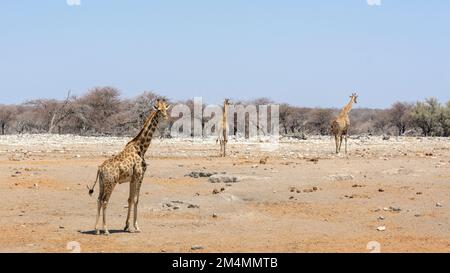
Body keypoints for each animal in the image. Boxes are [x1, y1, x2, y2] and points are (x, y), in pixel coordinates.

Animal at [87, 98, 171, 234]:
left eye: (165, 109)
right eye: (158, 109)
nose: (165, 116)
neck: (141, 148)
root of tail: (100, 169)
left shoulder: (132, 179)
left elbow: (130, 199)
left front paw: (127, 226)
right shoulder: (140, 175)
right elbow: (136, 199)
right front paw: (136, 226)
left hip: (102, 183)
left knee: (99, 199)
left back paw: (96, 229)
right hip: (111, 182)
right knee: (105, 201)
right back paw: (106, 230)